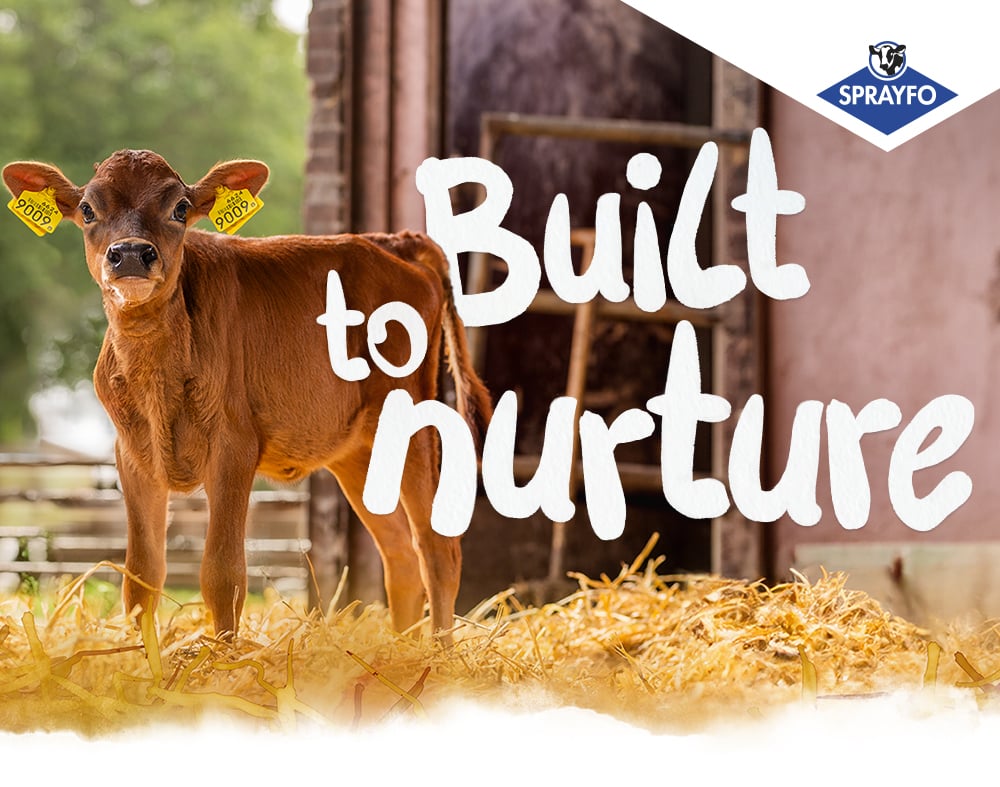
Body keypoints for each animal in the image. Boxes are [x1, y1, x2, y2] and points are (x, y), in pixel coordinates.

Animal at [2, 150, 492, 638]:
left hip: (412, 419)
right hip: (358, 451)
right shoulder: (133, 455)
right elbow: (141, 579)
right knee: (401, 556)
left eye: (180, 208)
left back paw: (438, 652)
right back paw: (402, 649)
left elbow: (223, 575)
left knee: (437, 551)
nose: (131, 255)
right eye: (87, 209)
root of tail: (390, 240)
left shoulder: (233, 446)